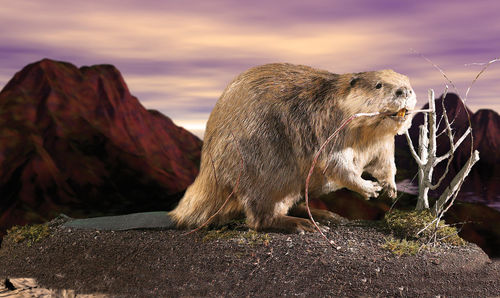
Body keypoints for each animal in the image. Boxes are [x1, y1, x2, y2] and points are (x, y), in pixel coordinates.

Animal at [170, 63, 416, 233]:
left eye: (409, 84)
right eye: (378, 85)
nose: (404, 90)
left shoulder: (382, 144)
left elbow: (385, 164)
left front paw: (391, 188)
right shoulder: (326, 127)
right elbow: (336, 165)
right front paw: (369, 188)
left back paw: (327, 216)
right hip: (266, 174)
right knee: (261, 217)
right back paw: (303, 225)